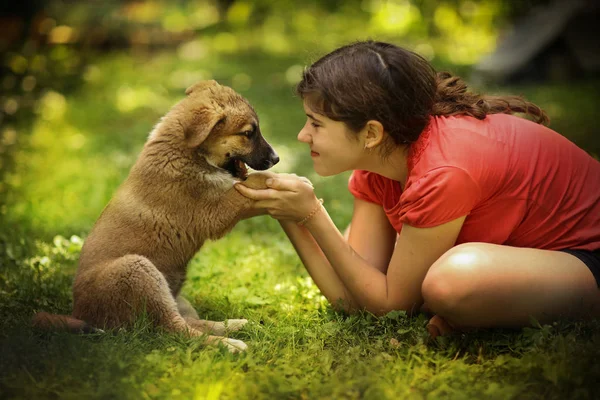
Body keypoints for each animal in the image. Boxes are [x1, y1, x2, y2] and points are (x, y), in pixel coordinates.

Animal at [35, 79, 282, 352]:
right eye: (248, 133)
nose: (276, 158)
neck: (187, 152)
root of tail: (80, 315)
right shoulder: (215, 212)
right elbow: (251, 185)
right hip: (137, 271)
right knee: (177, 330)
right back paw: (229, 344)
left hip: (177, 299)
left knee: (189, 323)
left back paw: (234, 324)